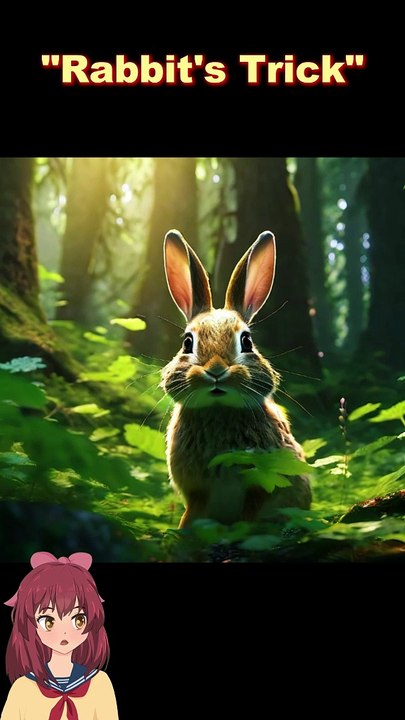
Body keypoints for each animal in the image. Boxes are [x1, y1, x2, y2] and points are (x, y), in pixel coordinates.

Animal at [161, 229, 311, 528]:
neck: (219, 410)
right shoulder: (197, 492)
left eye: (247, 341)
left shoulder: (262, 485)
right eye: (187, 342)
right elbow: (191, 516)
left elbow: (250, 516)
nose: (216, 371)